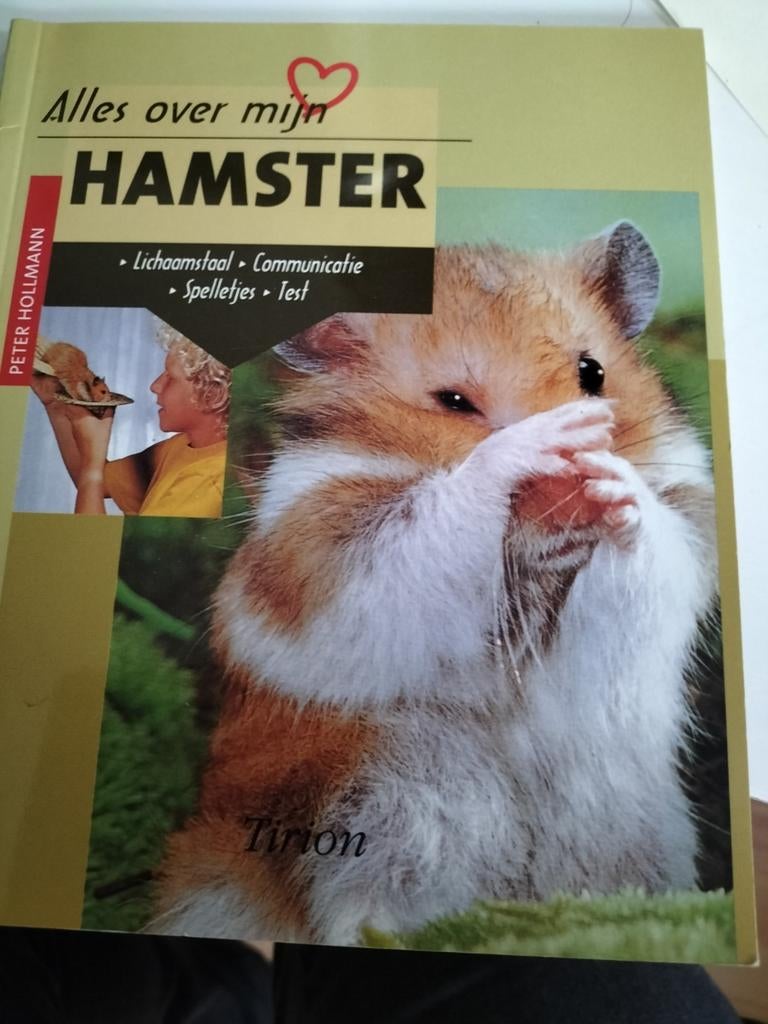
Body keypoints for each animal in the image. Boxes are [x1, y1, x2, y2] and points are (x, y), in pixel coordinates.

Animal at [152, 222, 717, 944]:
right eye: (453, 402)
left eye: (592, 373)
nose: (572, 480)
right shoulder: (339, 549)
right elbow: (433, 521)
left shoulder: (683, 533)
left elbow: (653, 550)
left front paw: (611, 483)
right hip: (390, 815)